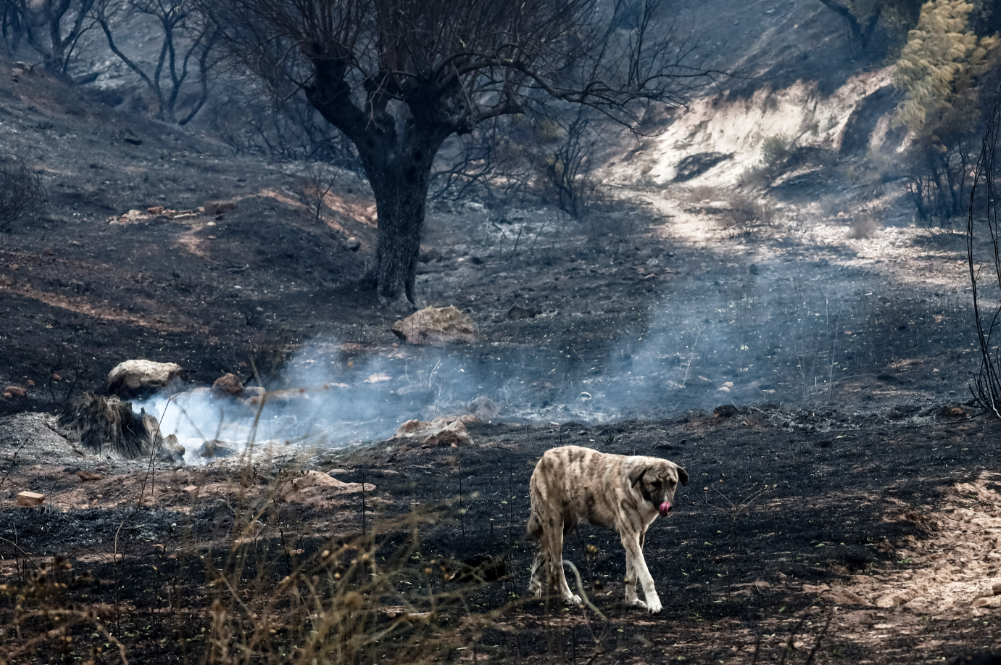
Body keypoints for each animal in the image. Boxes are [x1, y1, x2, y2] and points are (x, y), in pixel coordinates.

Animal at [528, 446, 684, 612]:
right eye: (654, 483)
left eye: (673, 483)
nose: (667, 506)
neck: (634, 489)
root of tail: (544, 457)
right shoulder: (630, 537)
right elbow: (645, 575)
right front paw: (654, 603)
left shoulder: (637, 536)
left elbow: (632, 573)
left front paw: (632, 600)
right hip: (556, 527)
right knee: (555, 567)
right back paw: (568, 597)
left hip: (566, 527)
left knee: (540, 553)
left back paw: (534, 586)